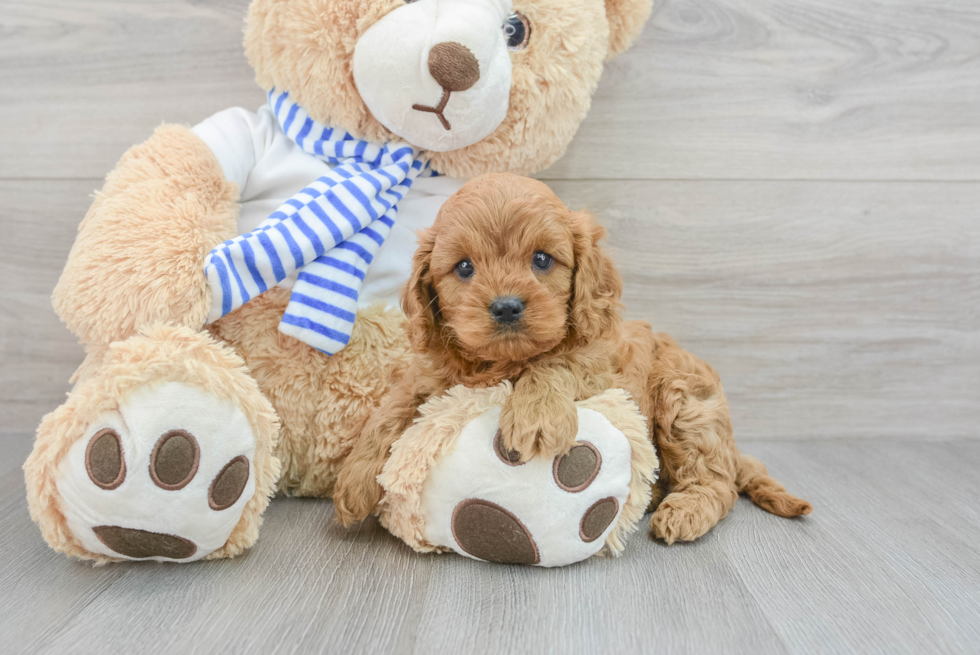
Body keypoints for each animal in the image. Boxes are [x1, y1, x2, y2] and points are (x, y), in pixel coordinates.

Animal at [336, 170, 812, 544]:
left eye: (542, 259)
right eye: (465, 267)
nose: (506, 307)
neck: (501, 364)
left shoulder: (601, 366)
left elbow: (555, 363)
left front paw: (536, 415)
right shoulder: (428, 376)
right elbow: (390, 410)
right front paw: (354, 481)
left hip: (685, 402)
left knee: (717, 480)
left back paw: (684, 511)